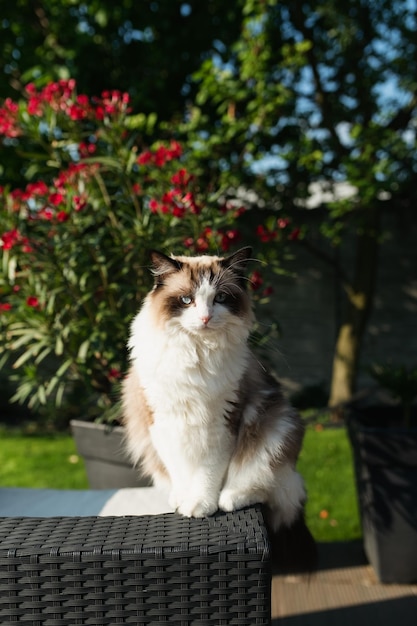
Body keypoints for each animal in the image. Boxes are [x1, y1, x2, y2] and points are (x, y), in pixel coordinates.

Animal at [122, 246, 316, 568]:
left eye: (221, 298)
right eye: (186, 300)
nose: (204, 317)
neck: (196, 353)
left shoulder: (222, 425)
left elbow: (208, 475)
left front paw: (201, 505)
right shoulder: (164, 424)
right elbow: (181, 472)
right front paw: (185, 503)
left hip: (276, 427)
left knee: (262, 485)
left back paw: (228, 499)